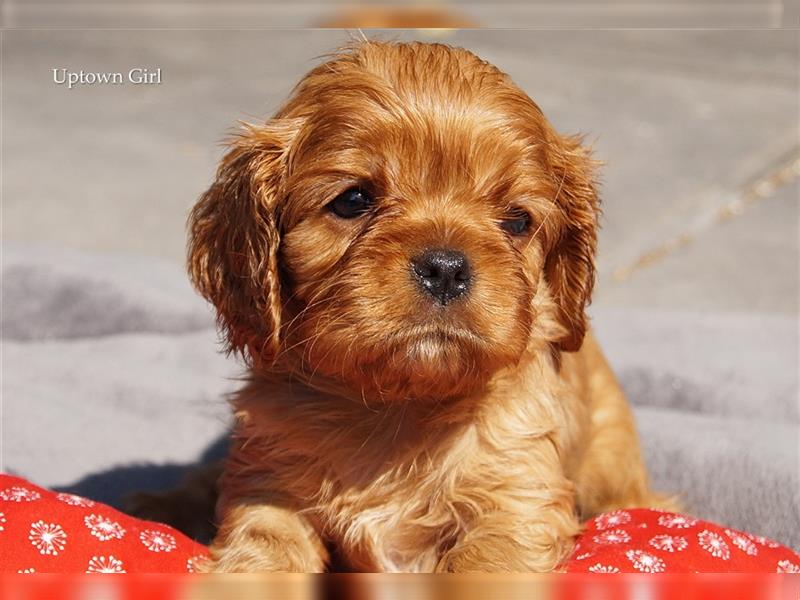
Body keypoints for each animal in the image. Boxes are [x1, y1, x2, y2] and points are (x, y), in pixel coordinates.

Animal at [188, 38, 676, 572]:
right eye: (353, 200)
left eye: (517, 220)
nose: (445, 268)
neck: (398, 411)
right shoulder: (268, 486)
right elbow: (263, 554)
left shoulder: (516, 500)